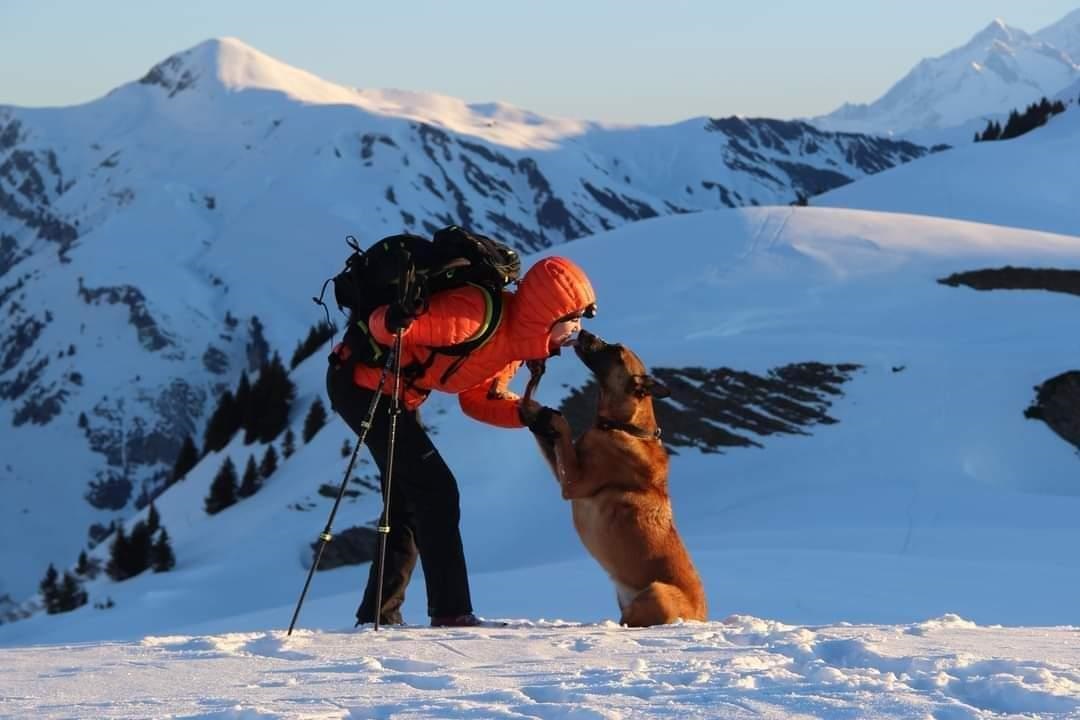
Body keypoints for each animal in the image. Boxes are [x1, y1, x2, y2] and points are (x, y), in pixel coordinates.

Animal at [522, 330, 708, 626]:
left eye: (617, 351)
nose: (584, 332)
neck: (626, 427)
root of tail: (700, 618)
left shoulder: (574, 483)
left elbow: (563, 428)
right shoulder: (565, 473)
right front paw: (533, 406)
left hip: (656, 591)